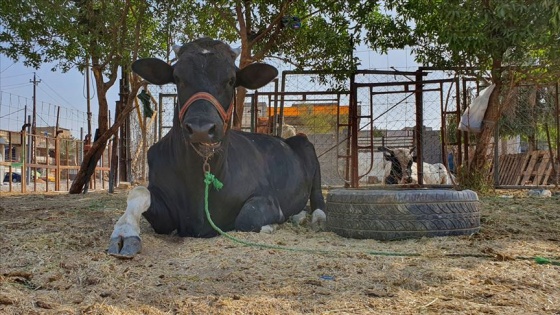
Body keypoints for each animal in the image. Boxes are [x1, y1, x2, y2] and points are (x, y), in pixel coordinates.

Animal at [109, 37, 326, 260]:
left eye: (231, 80)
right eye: (177, 78)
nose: (201, 128)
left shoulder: (267, 197)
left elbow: (248, 218)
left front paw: (272, 225)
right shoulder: (166, 217)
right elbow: (139, 192)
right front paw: (125, 233)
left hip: (307, 146)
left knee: (318, 195)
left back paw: (314, 218)